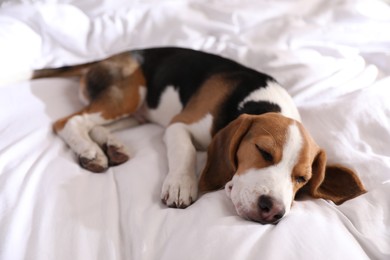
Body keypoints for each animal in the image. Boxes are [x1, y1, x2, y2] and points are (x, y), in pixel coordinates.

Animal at [31, 47, 366, 224]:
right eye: (264, 151)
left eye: (302, 179)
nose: (274, 211)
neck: (256, 102)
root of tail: (111, 56)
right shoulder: (178, 125)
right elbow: (188, 152)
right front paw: (181, 185)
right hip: (128, 94)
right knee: (67, 122)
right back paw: (90, 152)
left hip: (136, 111)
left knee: (96, 126)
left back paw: (112, 147)